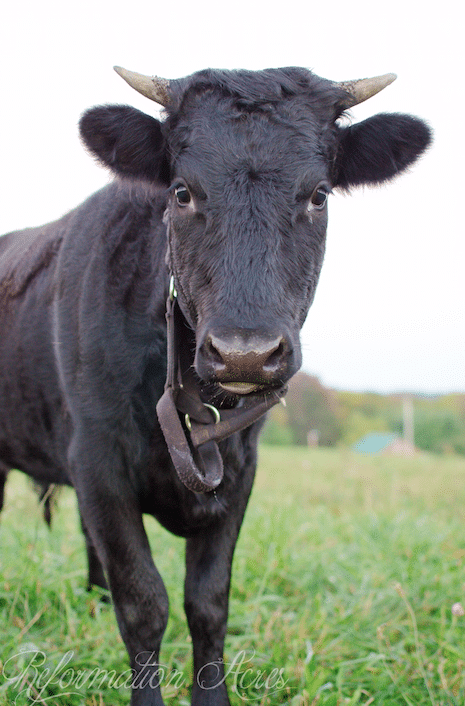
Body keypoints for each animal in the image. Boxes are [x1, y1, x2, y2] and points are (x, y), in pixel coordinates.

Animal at [0, 65, 431, 705]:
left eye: (319, 195)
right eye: (182, 192)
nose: (245, 353)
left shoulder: (241, 469)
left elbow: (207, 603)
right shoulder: (98, 461)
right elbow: (144, 602)